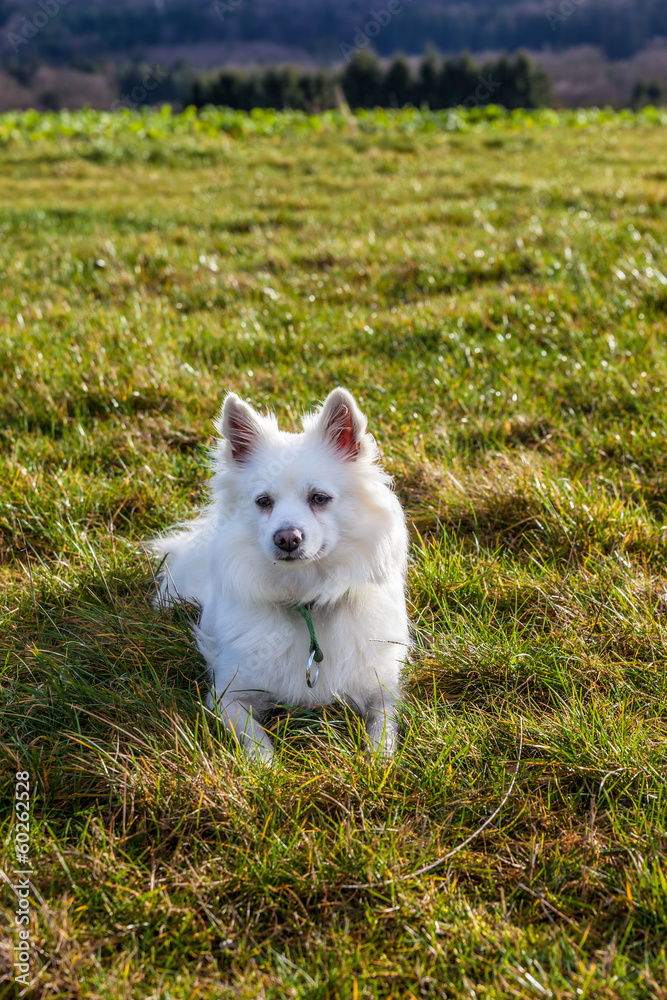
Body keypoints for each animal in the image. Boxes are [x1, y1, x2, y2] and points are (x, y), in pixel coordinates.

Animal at [151, 386, 410, 760]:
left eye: (319, 498)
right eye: (263, 502)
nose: (287, 538)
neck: (307, 598)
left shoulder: (382, 691)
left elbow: (383, 734)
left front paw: (376, 765)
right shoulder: (228, 697)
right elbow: (256, 742)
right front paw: (266, 769)